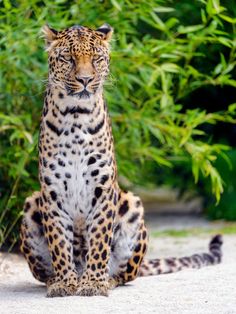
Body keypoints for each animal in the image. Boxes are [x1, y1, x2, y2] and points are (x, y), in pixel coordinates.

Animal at [19, 23, 222, 298]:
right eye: (68, 58)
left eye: (96, 58)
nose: (85, 80)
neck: (75, 116)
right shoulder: (52, 191)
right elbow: (59, 242)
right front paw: (64, 283)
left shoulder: (103, 188)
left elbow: (99, 240)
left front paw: (94, 283)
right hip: (32, 204)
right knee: (44, 272)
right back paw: (59, 279)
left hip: (132, 205)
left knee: (125, 274)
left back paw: (105, 279)